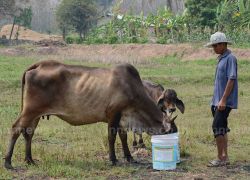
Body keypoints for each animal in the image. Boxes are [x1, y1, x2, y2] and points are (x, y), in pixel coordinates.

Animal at [4, 60, 176, 169]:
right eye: (171, 131)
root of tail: (38, 65)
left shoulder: (122, 118)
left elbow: (123, 137)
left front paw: (129, 157)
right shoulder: (113, 114)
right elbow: (112, 137)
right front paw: (113, 159)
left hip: (35, 115)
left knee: (28, 133)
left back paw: (29, 160)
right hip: (30, 111)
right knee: (16, 128)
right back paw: (8, 162)